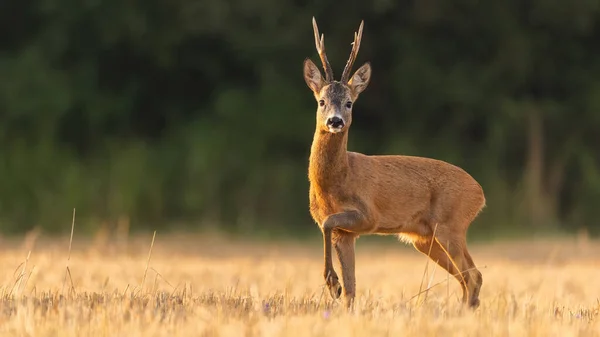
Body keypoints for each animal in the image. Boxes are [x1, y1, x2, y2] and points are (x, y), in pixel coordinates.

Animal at [304, 17, 488, 308]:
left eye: (349, 103)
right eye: (322, 101)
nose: (335, 121)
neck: (336, 181)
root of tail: (480, 194)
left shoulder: (368, 215)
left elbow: (327, 223)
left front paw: (331, 283)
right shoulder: (345, 233)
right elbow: (352, 287)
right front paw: (338, 290)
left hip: (451, 224)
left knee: (473, 275)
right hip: (425, 238)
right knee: (467, 277)